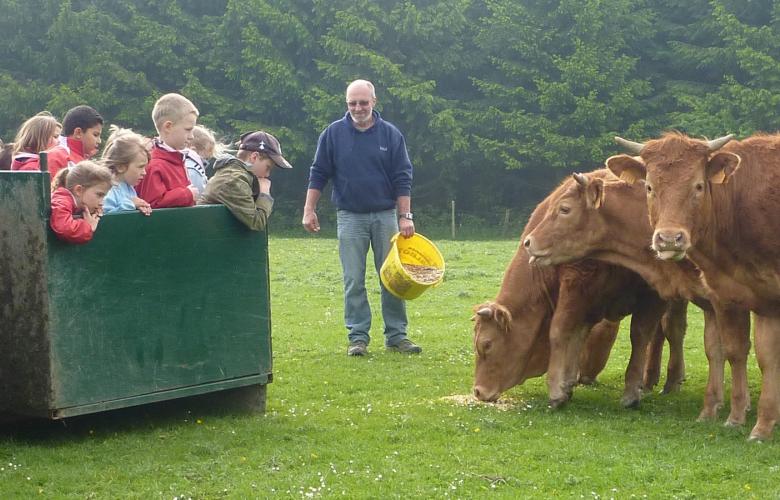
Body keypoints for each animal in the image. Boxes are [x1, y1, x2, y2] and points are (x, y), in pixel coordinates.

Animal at [470, 197, 684, 408]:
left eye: (486, 344)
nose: (478, 391)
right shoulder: (586, 300)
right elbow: (577, 332)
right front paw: (566, 384)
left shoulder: (646, 293)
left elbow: (637, 335)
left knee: (671, 330)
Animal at [608, 131, 780, 440]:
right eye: (649, 187)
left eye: (698, 186)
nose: (669, 239)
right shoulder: (737, 295)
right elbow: (746, 352)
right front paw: (747, 420)